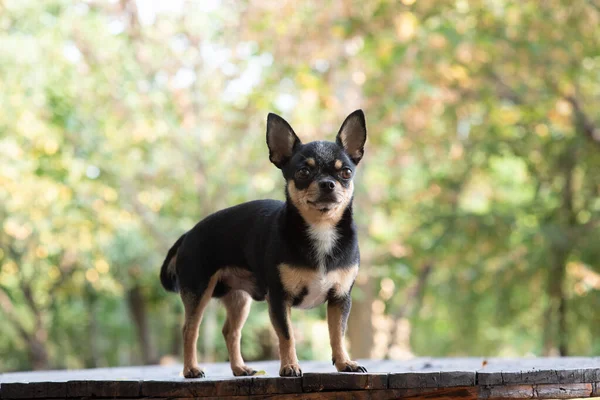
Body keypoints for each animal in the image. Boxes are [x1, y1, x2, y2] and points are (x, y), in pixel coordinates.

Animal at [159, 110, 366, 378]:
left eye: (346, 173)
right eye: (303, 172)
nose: (327, 183)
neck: (321, 229)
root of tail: (188, 233)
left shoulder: (340, 299)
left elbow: (338, 335)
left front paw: (344, 363)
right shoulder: (279, 299)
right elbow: (287, 336)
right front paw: (290, 367)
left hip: (238, 299)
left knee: (230, 331)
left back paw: (239, 368)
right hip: (198, 291)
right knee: (189, 330)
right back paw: (191, 369)